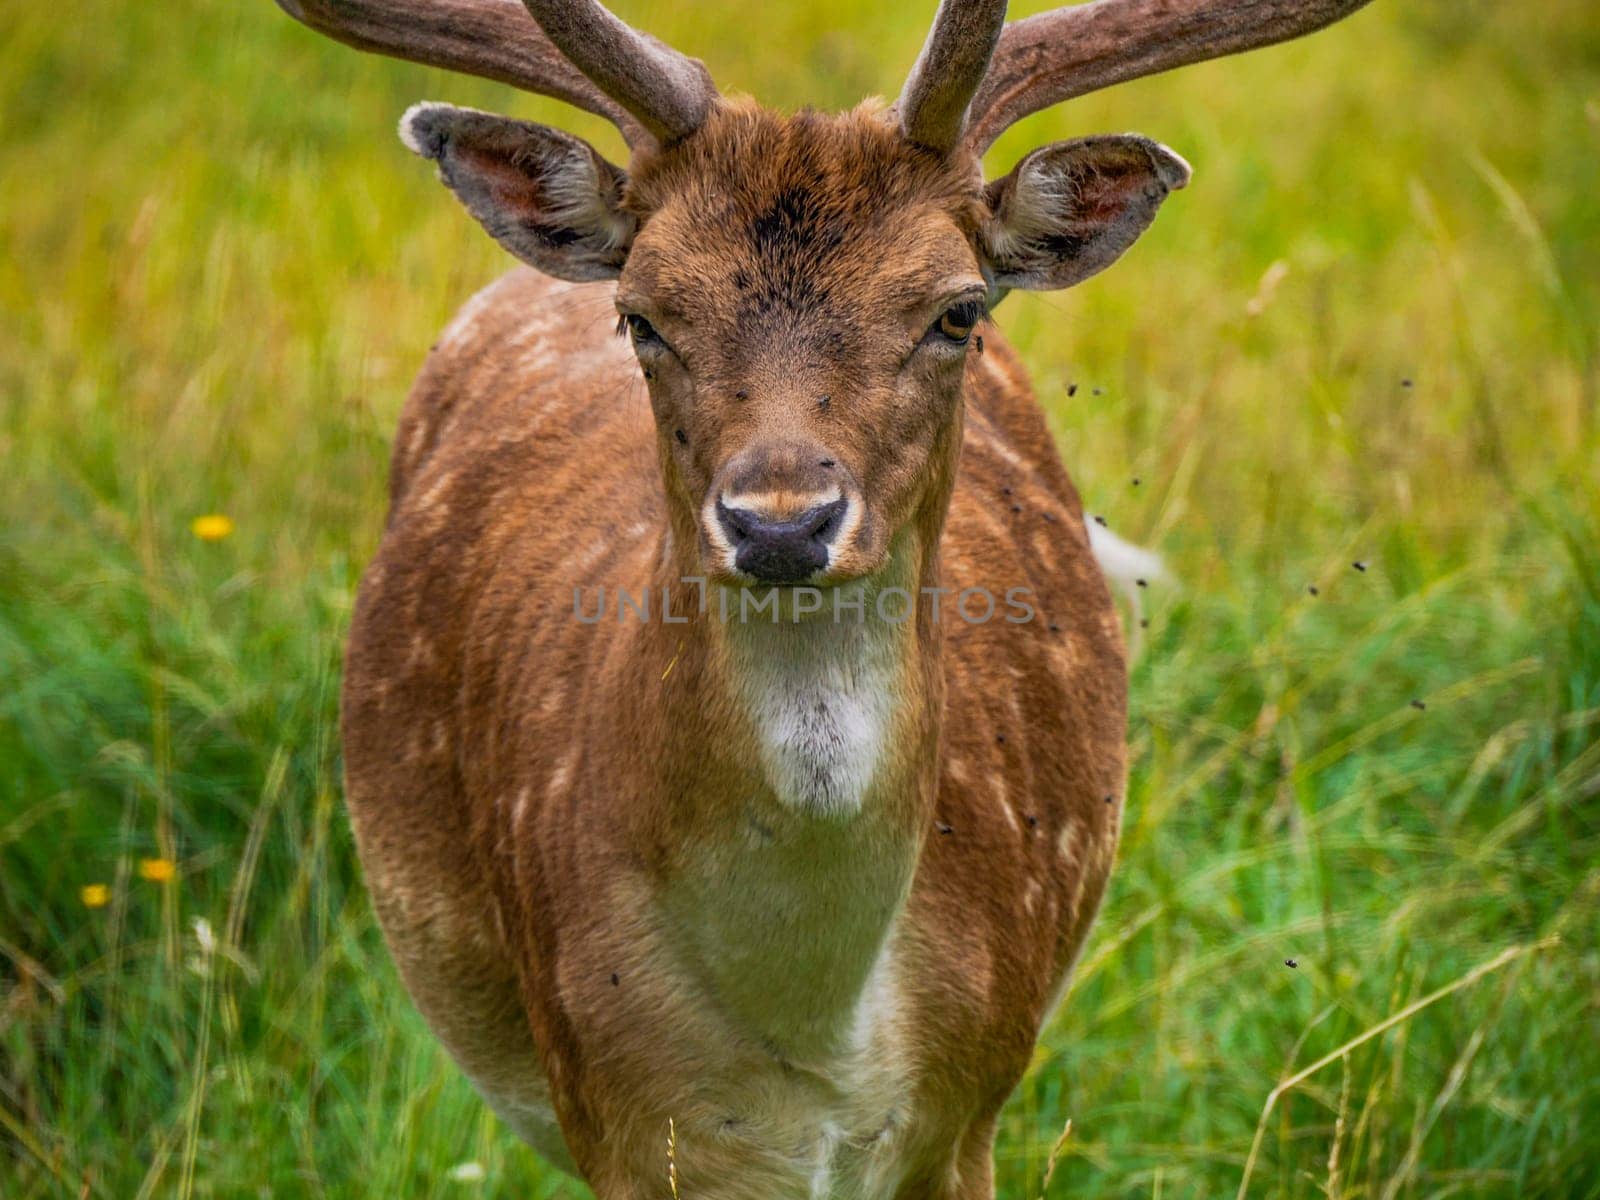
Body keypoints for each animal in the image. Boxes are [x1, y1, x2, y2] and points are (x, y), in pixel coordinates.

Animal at [275, 4, 1376, 1196]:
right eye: (640, 316)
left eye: (957, 310)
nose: (780, 523)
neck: (814, 1042)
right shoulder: (613, 1109)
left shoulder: (971, 1104)